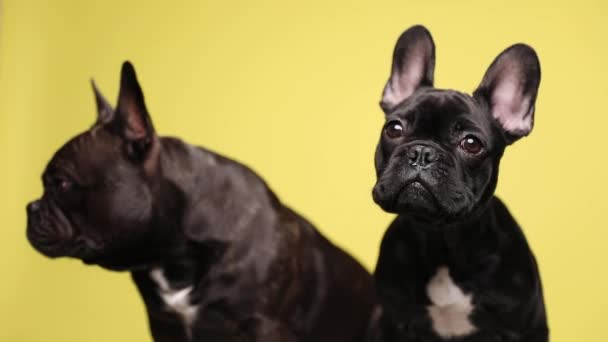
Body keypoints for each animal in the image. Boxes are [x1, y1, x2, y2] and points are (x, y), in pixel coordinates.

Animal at [370, 25, 552, 340]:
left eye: (471, 143)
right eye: (393, 128)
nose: (422, 152)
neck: (442, 244)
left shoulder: (521, 328)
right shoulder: (395, 322)